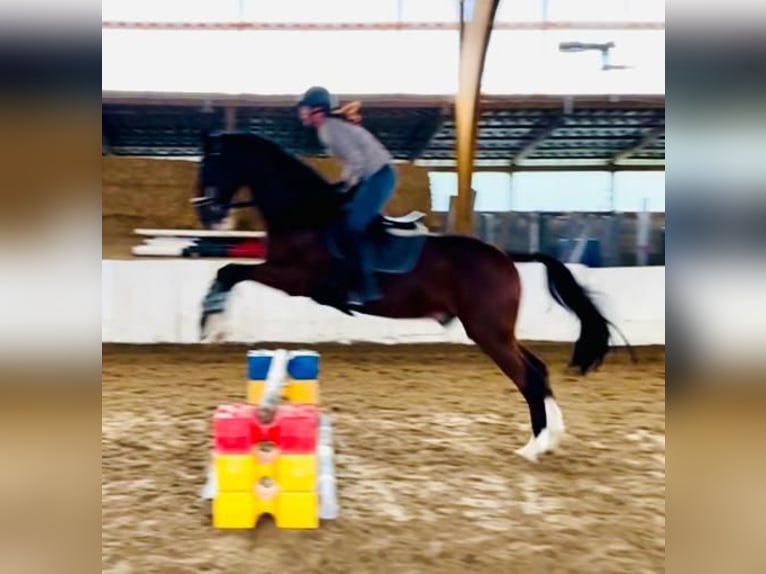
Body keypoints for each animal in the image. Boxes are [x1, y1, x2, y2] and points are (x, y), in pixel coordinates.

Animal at [193, 131, 632, 462]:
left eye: (212, 163)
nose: (205, 211)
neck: (306, 213)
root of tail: (506, 256)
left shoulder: (296, 278)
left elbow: (230, 272)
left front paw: (213, 323)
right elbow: (228, 272)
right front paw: (212, 321)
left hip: (488, 331)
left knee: (529, 376)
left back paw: (534, 446)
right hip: (497, 331)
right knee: (538, 369)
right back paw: (551, 437)